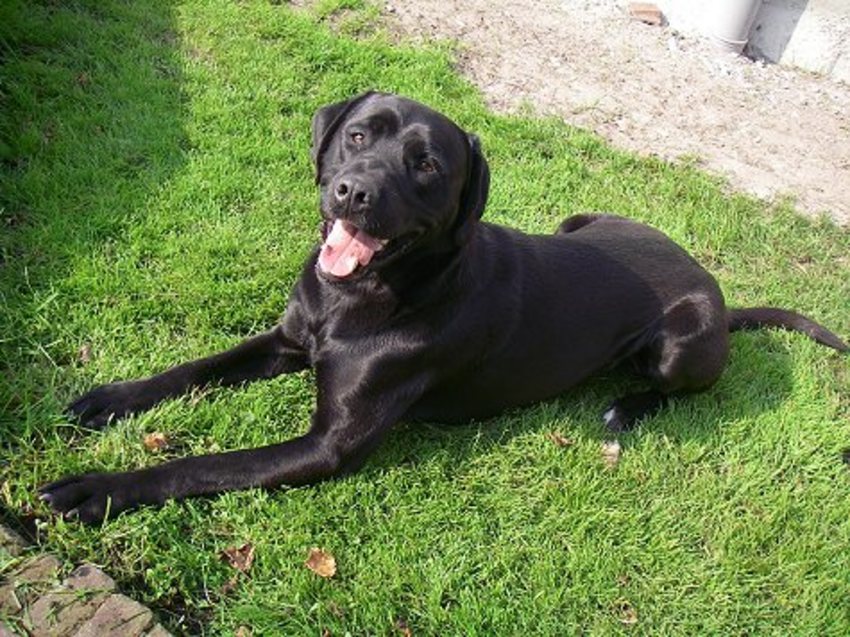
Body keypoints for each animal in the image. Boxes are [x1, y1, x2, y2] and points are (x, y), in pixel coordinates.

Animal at [40, 92, 848, 524]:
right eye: (356, 136)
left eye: (426, 165)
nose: (353, 192)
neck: (361, 295)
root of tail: (715, 285)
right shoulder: (286, 339)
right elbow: (194, 368)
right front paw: (106, 399)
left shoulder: (327, 446)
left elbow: (201, 466)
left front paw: (96, 487)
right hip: (581, 219)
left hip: (680, 344)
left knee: (676, 388)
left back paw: (626, 407)